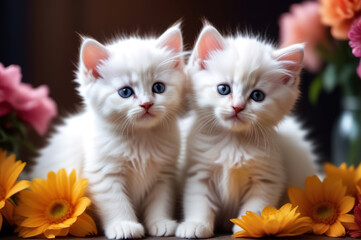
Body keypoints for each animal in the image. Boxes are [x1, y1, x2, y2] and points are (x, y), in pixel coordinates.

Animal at [31, 23, 186, 238]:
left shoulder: (164, 175)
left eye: (158, 87)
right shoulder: (104, 175)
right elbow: (116, 203)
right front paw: (124, 226)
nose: (147, 104)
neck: (140, 138)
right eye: (125, 92)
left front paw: (160, 222)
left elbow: (160, 202)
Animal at [176, 25, 316, 239]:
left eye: (257, 96)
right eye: (223, 89)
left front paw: (248, 226)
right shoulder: (199, 172)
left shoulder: (267, 178)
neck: (233, 142)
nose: (238, 107)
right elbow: (198, 201)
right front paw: (195, 224)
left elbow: (256, 207)